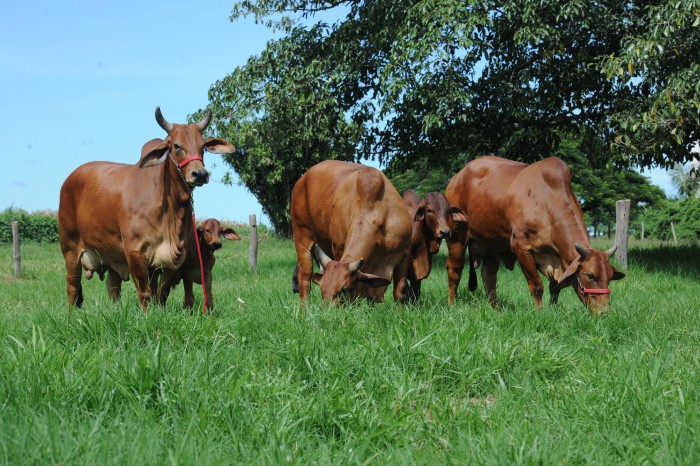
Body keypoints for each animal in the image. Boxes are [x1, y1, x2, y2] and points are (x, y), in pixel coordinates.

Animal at [58, 106, 238, 310]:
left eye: (203, 147)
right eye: (176, 146)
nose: (199, 174)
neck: (170, 209)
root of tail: (70, 178)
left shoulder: (174, 259)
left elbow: (161, 291)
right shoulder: (134, 251)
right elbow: (144, 292)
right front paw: (146, 314)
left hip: (111, 256)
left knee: (113, 287)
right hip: (69, 247)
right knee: (72, 284)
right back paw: (71, 313)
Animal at [288, 162, 410, 304]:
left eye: (344, 289)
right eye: (322, 288)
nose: (326, 308)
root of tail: (301, 180)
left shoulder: (404, 253)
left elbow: (399, 293)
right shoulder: (338, 249)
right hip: (301, 236)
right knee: (305, 277)